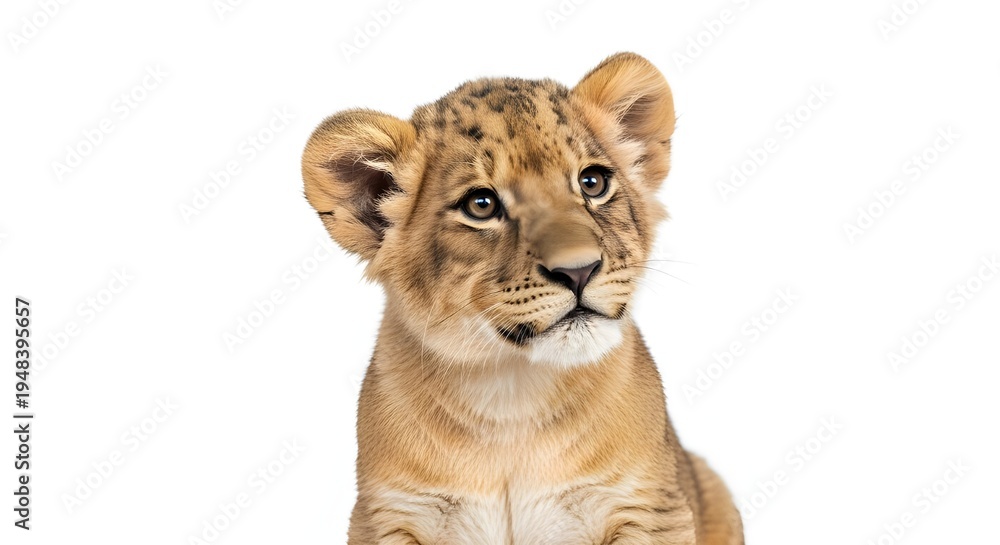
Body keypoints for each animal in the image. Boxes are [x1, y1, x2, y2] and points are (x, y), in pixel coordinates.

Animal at [302, 52, 744, 545]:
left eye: (592, 182)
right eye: (481, 205)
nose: (579, 270)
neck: (512, 400)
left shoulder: (650, 507)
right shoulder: (387, 515)